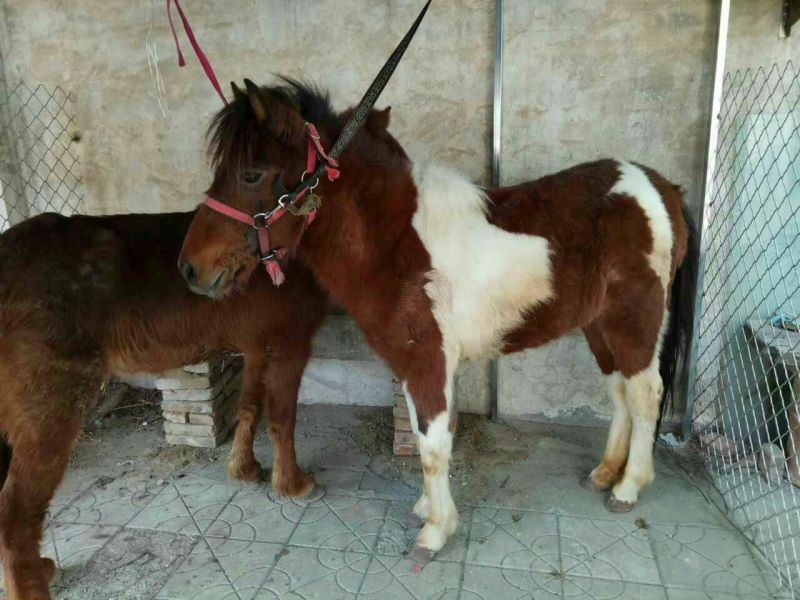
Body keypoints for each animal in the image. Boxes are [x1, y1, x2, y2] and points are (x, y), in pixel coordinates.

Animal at [0, 210, 326, 599]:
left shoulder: (258, 347)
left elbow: (249, 409)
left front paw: (244, 468)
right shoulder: (289, 343)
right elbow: (282, 418)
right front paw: (292, 483)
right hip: (51, 405)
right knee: (16, 510)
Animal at [178, 79, 698, 559]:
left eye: (251, 174)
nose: (189, 268)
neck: (396, 244)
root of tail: (662, 188)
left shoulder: (429, 360)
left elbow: (432, 445)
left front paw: (435, 531)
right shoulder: (411, 365)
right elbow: (424, 435)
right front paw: (428, 509)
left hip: (636, 319)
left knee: (646, 394)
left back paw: (628, 487)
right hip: (600, 325)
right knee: (620, 391)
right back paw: (605, 472)